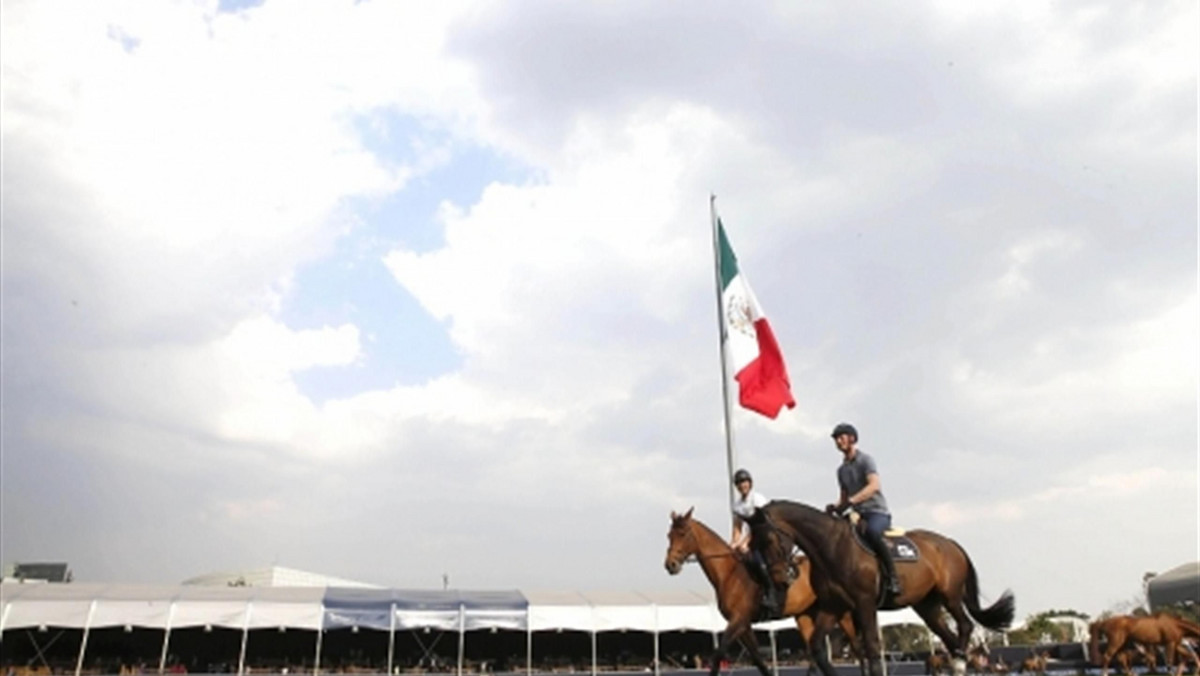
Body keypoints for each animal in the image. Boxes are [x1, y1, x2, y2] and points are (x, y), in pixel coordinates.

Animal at [667, 509, 864, 676]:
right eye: (669, 535)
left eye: (683, 534)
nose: (670, 565)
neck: (729, 574)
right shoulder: (743, 624)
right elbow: (757, 659)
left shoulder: (738, 620)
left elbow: (719, 653)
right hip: (805, 614)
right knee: (815, 651)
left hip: (843, 615)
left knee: (856, 646)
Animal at [748, 499, 1012, 676]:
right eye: (753, 543)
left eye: (768, 540)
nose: (780, 579)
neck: (832, 547)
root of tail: (950, 542)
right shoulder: (833, 607)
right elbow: (818, 648)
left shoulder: (864, 604)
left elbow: (873, 649)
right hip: (926, 606)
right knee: (949, 637)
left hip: (950, 596)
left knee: (965, 625)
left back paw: (958, 664)